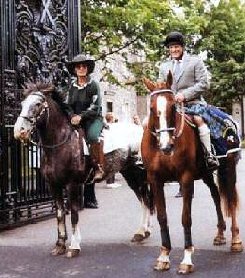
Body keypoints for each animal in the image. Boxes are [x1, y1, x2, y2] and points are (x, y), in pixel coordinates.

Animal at [13, 82, 153, 258]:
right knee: (143, 199)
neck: (61, 144)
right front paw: (60, 245)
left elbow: (73, 214)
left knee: (146, 199)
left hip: (139, 173)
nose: (19, 131)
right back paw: (142, 232)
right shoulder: (54, 186)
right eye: (22, 104)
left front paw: (74, 246)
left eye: (38, 104)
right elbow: (60, 213)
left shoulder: (73, 185)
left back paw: (143, 231)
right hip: (129, 173)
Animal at [141, 73, 242, 274]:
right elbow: (162, 217)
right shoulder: (155, 180)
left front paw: (187, 259)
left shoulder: (186, 178)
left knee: (231, 200)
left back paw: (235, 240)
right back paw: (220, 233)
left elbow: (186, 218)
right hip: (205, 174)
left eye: (173, 106)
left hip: (229, 168)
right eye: (152, 108)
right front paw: (164, 256)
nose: (166, 146)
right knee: (215, 194)